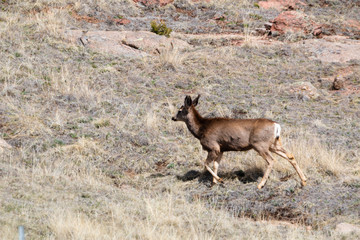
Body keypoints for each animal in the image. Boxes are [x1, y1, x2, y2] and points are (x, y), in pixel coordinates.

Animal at [172, 95, 306, 189]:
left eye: (180, 110)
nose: (173, 117)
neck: (201, 129)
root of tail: (276, 126)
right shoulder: (221, 148)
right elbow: (216, 165)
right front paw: (214, 183)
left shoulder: (213, 146)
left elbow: (205, 164)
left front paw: (220, 180)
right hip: (274, 144)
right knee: (290, 155)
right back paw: (304, 181)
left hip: (260, 144)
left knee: (271, 160)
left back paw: (260, 185)